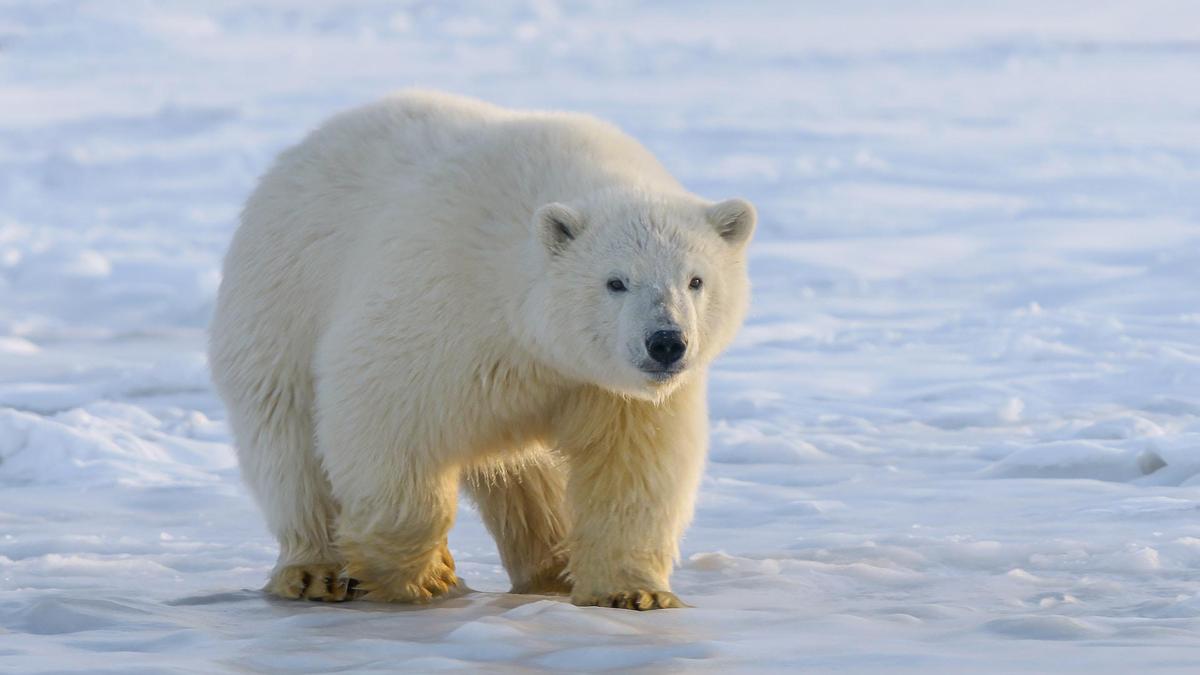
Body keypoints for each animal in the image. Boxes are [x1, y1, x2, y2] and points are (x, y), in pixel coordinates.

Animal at [206, 86, 748, 607]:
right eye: (616, 282)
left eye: (695, 280)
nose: (666, 342)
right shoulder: (441, 301)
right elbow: (384, 414)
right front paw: (420, 574)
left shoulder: (605, 388)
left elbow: (632, 467)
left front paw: (635, 592)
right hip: (282, 302)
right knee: (289, 442)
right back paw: (313, 571)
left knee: (528, 478)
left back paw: (551, 567)